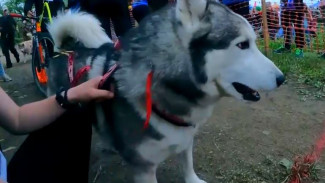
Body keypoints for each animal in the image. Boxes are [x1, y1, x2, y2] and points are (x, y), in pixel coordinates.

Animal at [46, 0, 284, 182]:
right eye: (242, 45)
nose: (282, 79)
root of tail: (63, 51)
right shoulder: (144, 168)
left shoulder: (186, 138)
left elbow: (187, 164)